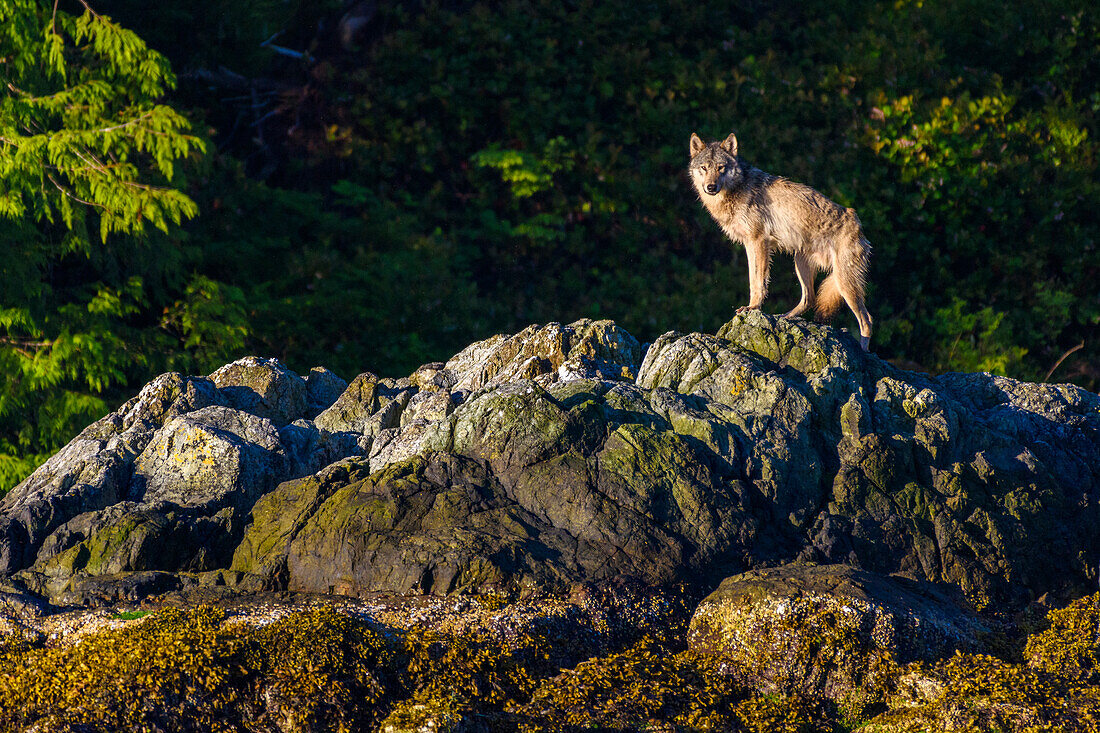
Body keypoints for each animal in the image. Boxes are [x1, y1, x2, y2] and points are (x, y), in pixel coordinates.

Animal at [686, 132, 875, 349]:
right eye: (704, 167)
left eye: (721, 167)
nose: (711, 186)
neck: (735, 191)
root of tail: (857, 222)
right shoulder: (750, 245)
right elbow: (754, 280)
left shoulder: (758, 241)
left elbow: (757, 282)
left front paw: (753, 307)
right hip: (801, 264)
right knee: (809, 299)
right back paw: (785, 317)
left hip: (844, 283)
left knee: (867, 320)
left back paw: (864, 352)